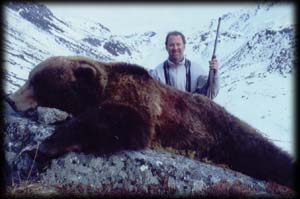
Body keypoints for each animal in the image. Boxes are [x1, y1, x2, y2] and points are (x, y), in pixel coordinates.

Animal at [5, 55, 294, 188]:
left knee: (264, 153)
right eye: (30, 77)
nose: (10, 99)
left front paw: (39, 147)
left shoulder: (141, 101)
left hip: (227, 132)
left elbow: (124, 123)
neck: (105, 86)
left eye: (35, 82)